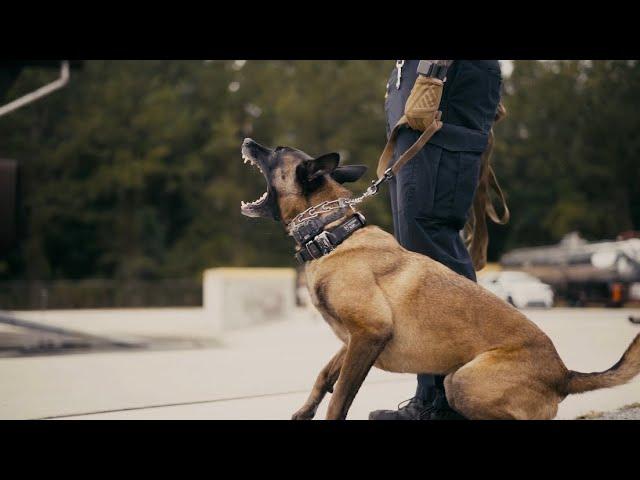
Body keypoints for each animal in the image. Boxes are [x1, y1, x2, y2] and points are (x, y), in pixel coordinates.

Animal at [239, 137, 640, 418]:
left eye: (276, 151)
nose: (247, 140)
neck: (332, 233)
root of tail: (563, 374)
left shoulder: (370, 333)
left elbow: (340, 399)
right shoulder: (352, 339)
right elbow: (324, 377)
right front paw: (303, 412)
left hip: (461, 381)